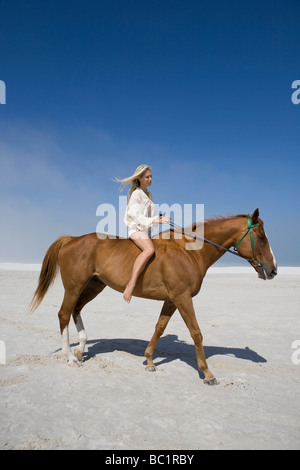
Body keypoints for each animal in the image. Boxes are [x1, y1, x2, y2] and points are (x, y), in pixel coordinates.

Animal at [29, 209, 276, 386]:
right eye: (261, 237)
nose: (273, 270)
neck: (189, 252)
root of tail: (71, 239)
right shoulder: (183, 298)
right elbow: (196, 333)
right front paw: (207, 374)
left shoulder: (172, 300)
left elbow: (159, 327)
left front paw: (149, 361)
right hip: (74, 287)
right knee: (63, 314)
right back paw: (70, 357)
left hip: (94, 286)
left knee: (76, 310)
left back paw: (80, 350)